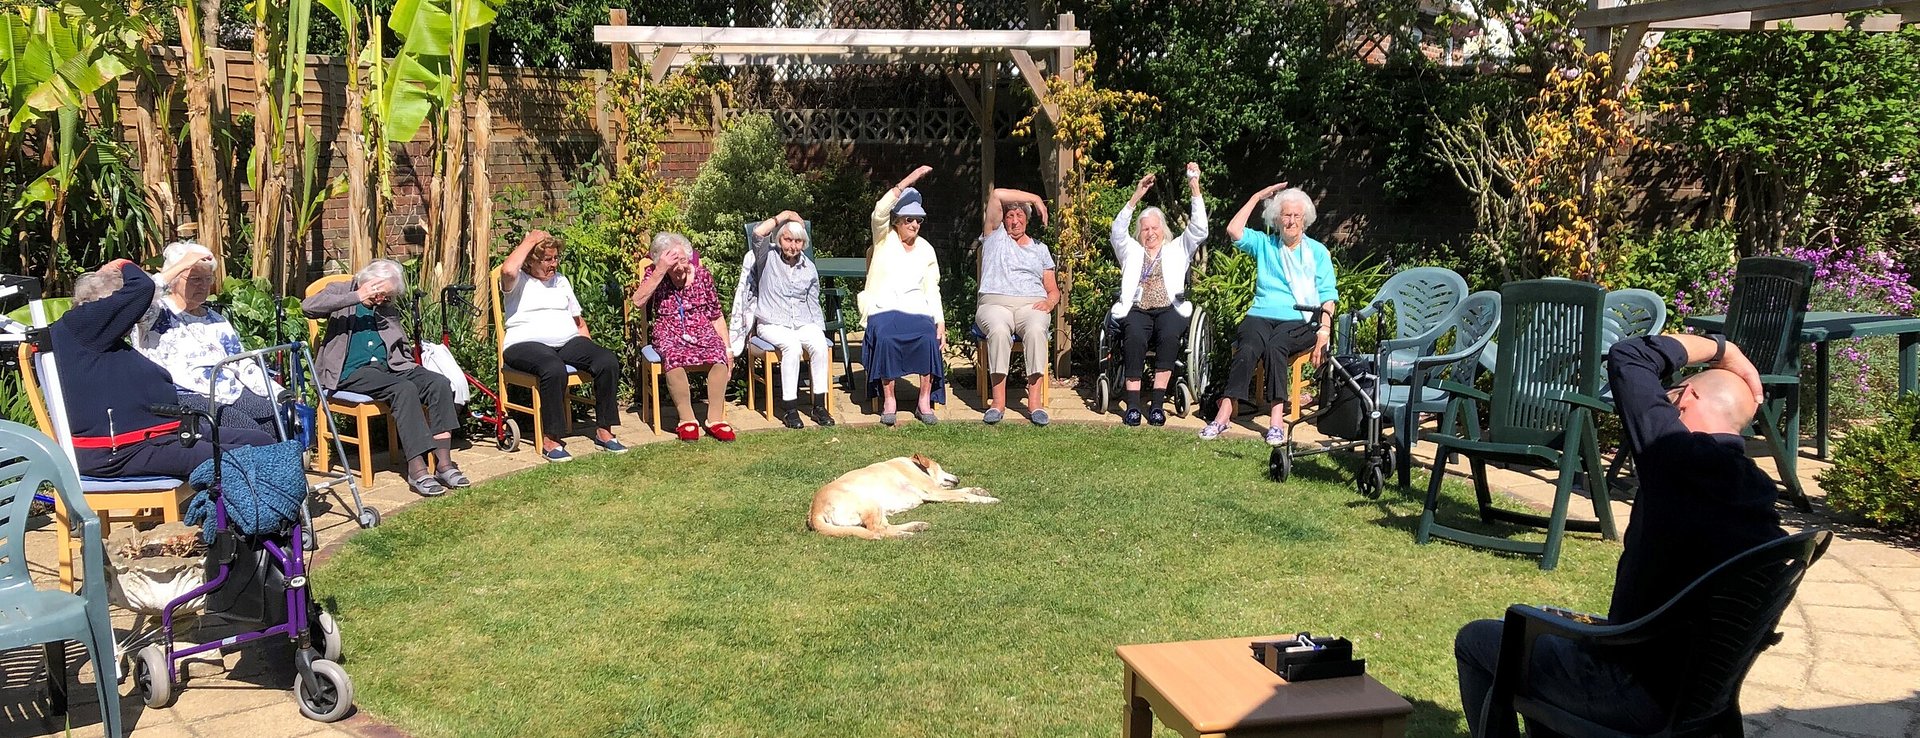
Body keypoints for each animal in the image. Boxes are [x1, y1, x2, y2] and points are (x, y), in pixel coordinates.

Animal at [808, 453, 998, 539]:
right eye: (941, 467)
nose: (958, 478)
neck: (914, 465)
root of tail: (814, 512)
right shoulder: (934, 491)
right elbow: (964, 495)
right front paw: (987, 499)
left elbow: (965, 490)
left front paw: (979, 490)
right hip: (870, 502)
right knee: (877, 530)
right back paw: (903, 535)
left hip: (878, 509)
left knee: (884, 527)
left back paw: (915, 527)